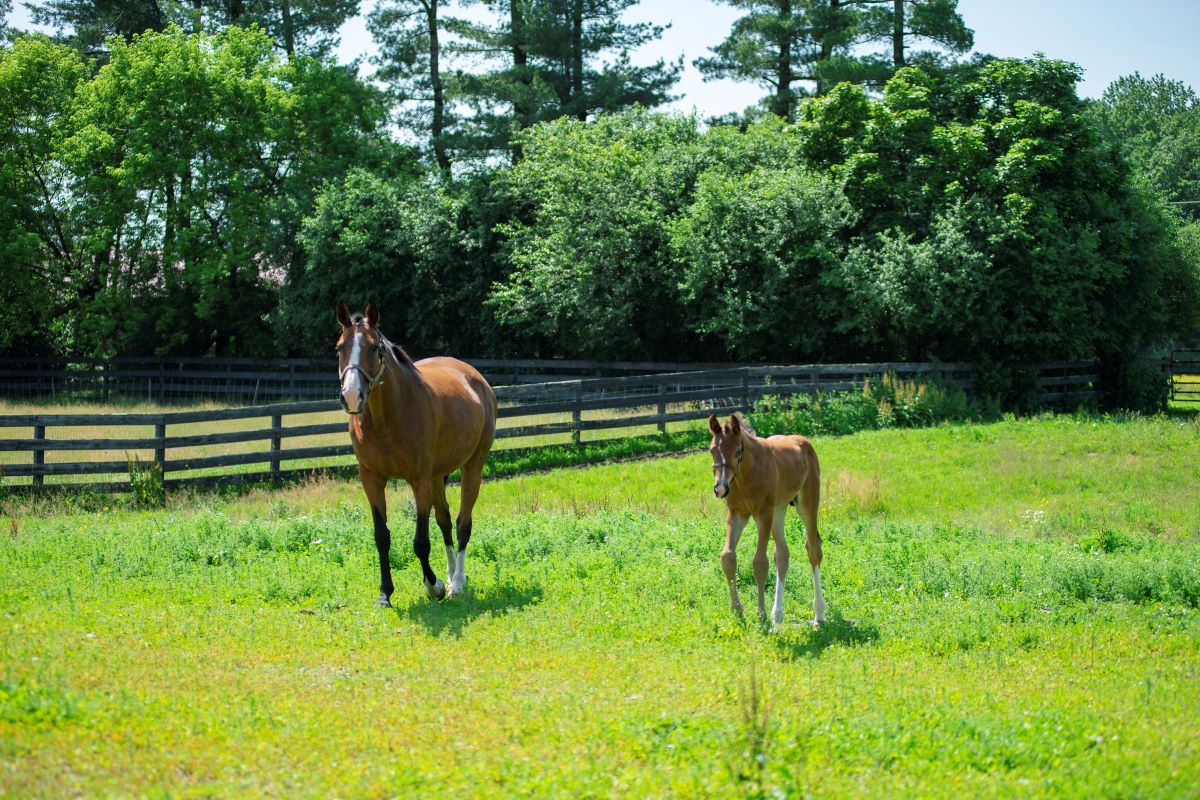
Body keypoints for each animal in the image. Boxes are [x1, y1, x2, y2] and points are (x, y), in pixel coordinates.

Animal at [333, 303, 496, 604]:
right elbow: (381, 537)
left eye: (375, 348)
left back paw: (457, 582)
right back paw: (451, 573)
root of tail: (475, 378)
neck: (386, 420)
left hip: (472, 468)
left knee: (462, 523)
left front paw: (434, 586)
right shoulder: (371, 480)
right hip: (437, 477)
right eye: (339, 348)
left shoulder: (418, 480)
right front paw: (385, 593)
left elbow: (421, 541)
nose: (351, 396)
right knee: (445, 521)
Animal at [710, 412, 825, 633]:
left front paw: (761, 617)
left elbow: (760, 563)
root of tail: (804, 441)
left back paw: (819, 614)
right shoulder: (737, 514)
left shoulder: (762, 514)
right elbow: (728, 557)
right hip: (779, 510)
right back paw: (777, 618)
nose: (720, 488)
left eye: (737, 452)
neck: (745, 475)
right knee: (782, 554)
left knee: (813, 550)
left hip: (806, 504)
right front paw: (738, 612)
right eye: (712, 450)